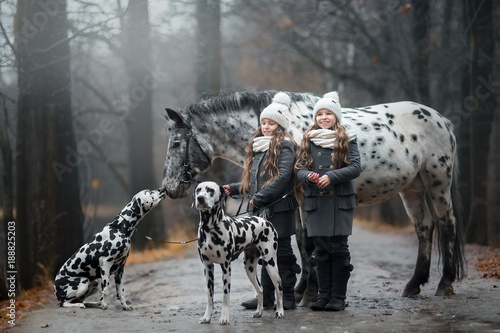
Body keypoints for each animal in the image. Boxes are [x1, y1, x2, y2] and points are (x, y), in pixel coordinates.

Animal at [162, 89, 466, 302]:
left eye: (176, 143)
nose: (169, 188)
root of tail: (441, 120)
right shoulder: (293, 202)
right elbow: (300, 242)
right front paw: (299, 290)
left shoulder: (302, 196)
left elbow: (308, 242)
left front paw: (307, 294)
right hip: (412, 188)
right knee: (424, 228)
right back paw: (414, 284)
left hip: (437, 181)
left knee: (446, 224)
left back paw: (445, 283)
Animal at [193, 182, 284, 324]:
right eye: (198, 190)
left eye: (211, 190)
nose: (200, 198)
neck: (210, 227)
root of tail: (265, 221)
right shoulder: (208, 268)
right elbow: (209, 296)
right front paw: (206, 317)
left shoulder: (226, 267)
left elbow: (225, 296)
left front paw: (224, 317)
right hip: (249, 267)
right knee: (260, 289)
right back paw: (259, 312)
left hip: (270, 263)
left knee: (279, 287)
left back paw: (280, 311)